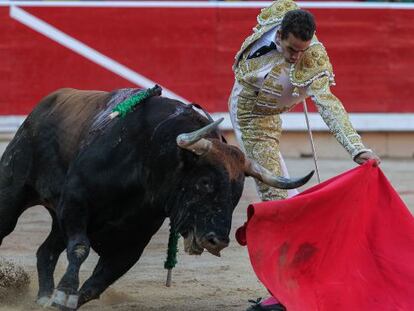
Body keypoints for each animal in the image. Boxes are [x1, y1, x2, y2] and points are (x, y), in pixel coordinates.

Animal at [0, 87, 312, 310]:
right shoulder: (76, 204)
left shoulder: (132, 243)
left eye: (236, 195)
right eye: (204, 183)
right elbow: (80, 248)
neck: (146, 160)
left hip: (58, 220)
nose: (217, 240)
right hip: (13, 191)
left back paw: (42, 296)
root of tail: (42, 107)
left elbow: (97, 283)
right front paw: (64, 292)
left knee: (46, 250)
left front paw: (65, 298)